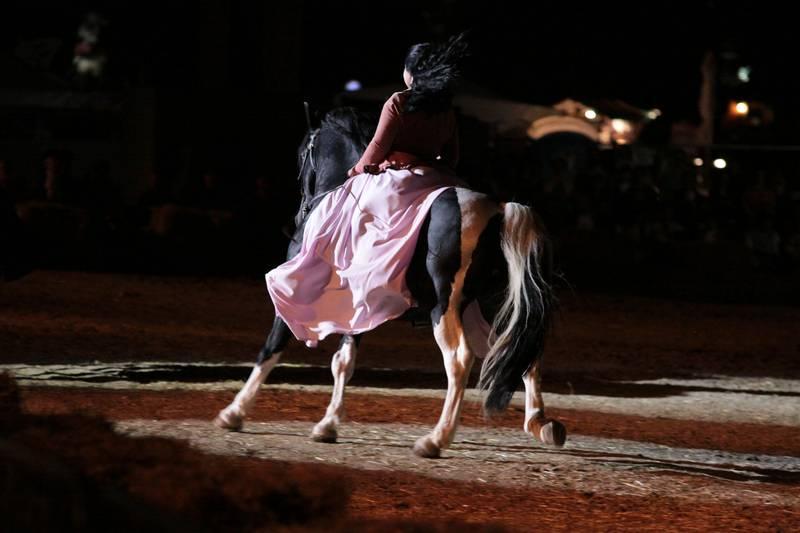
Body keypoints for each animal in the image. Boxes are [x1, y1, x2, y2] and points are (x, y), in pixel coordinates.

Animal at [215, 107, 566, 458]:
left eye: (302, 154)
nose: (299, 214)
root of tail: (499, 212)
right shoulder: (357, 305)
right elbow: (343, 362)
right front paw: (328, 425)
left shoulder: (303, 294)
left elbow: (272, 348)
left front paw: (234, 413)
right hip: (493, 307)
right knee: (522, 349)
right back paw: (542, 424)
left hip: (446, 308)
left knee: (460, 360)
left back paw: (436, 439)